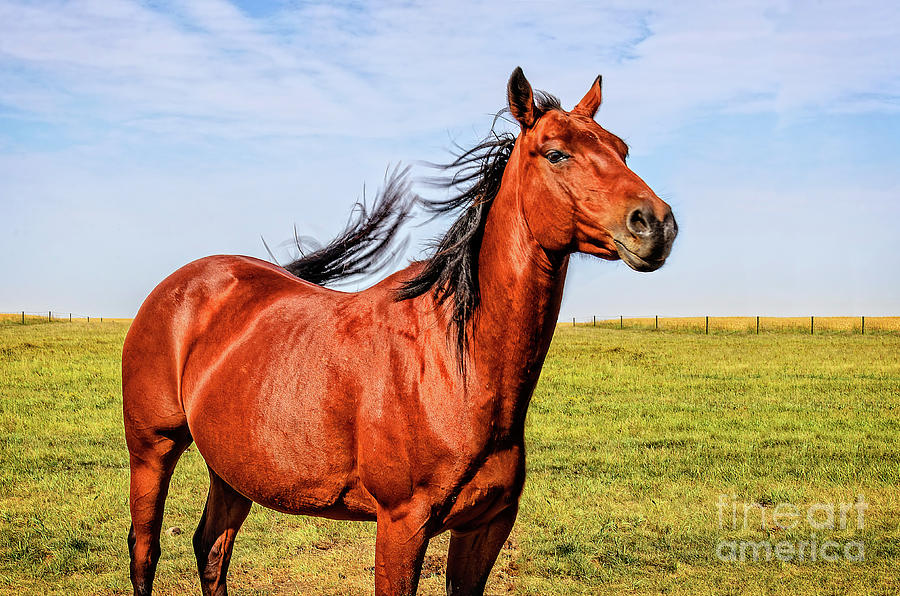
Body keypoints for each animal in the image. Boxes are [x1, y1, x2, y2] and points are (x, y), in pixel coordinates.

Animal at [125, 67, 676, 592]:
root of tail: (179, 286)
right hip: (152, 452)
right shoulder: (402, 526)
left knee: (211, 549)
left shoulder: (485, 527)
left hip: (233, 469)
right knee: (145, 552)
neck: (456, 365)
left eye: (622, 149)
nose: (656, 224)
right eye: (556, 154)